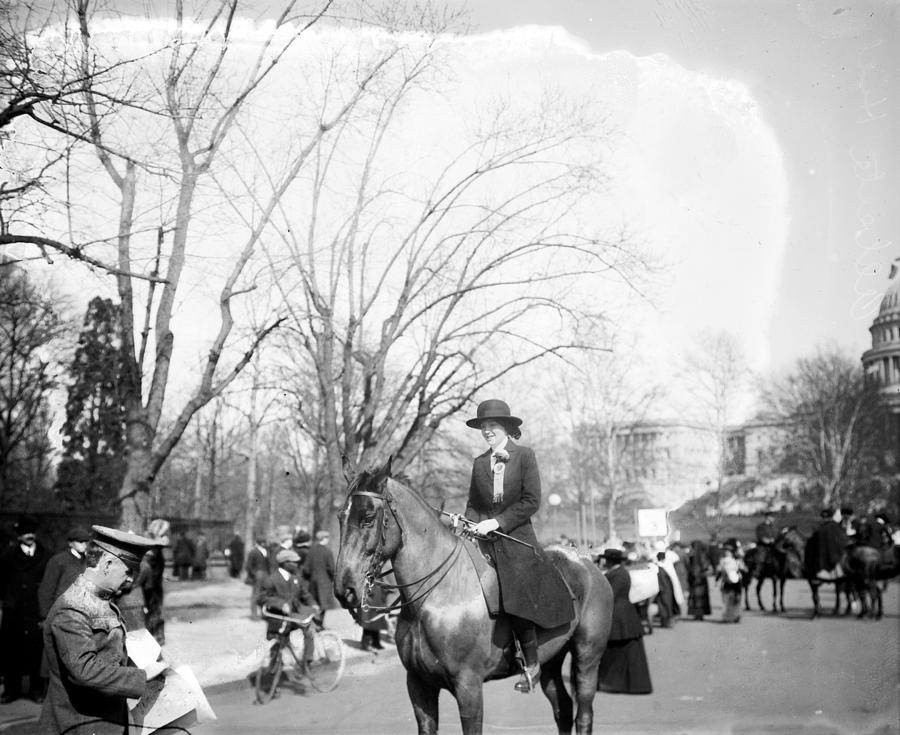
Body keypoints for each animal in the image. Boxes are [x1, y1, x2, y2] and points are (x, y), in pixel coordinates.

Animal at [334, 460, 616, 735]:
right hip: (551, 660)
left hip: (587, 658)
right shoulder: (419, 686)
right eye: (340, 517)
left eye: (368, 517)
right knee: (563, 709)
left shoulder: (468, 687)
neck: (434, 599)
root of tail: (587, 562)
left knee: (584, 715)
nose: (344, 589)